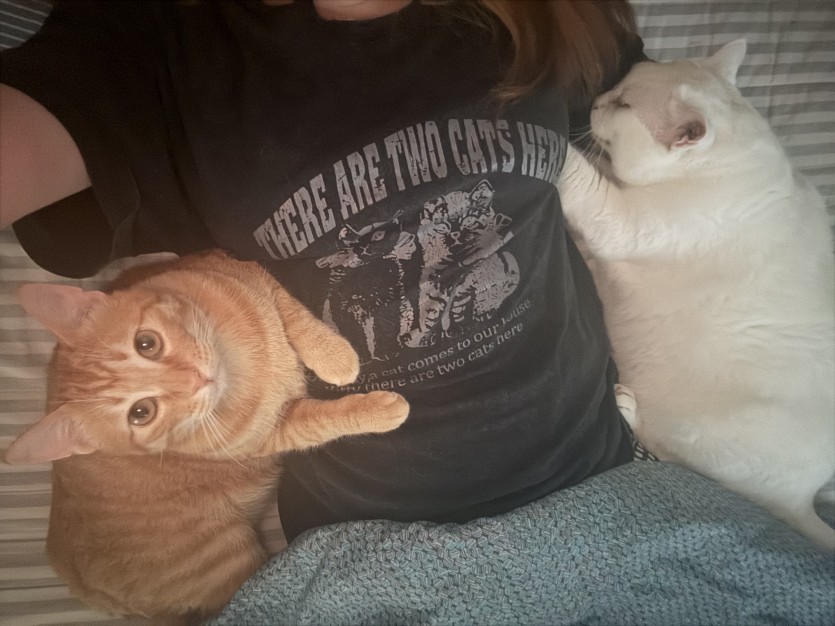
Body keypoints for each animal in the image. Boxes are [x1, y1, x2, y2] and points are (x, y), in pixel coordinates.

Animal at [4, 250, 410, 619]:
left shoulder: (244, 271)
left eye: (146, 343)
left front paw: (331, 352)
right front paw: (375, 405)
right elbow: (324, 420)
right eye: (141, 413)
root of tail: (80, 584)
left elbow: (292, 314)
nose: (196, 379)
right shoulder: (276, 431)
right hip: (238, 569)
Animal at [558, 40, 835, 550]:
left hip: (694, 435)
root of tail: (802, 499)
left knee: (665, 453)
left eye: (623, 105)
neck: (726, 163)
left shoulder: (623, 221)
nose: (597, 100)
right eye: (619, 85)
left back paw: (627, 405)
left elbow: (583, 180)